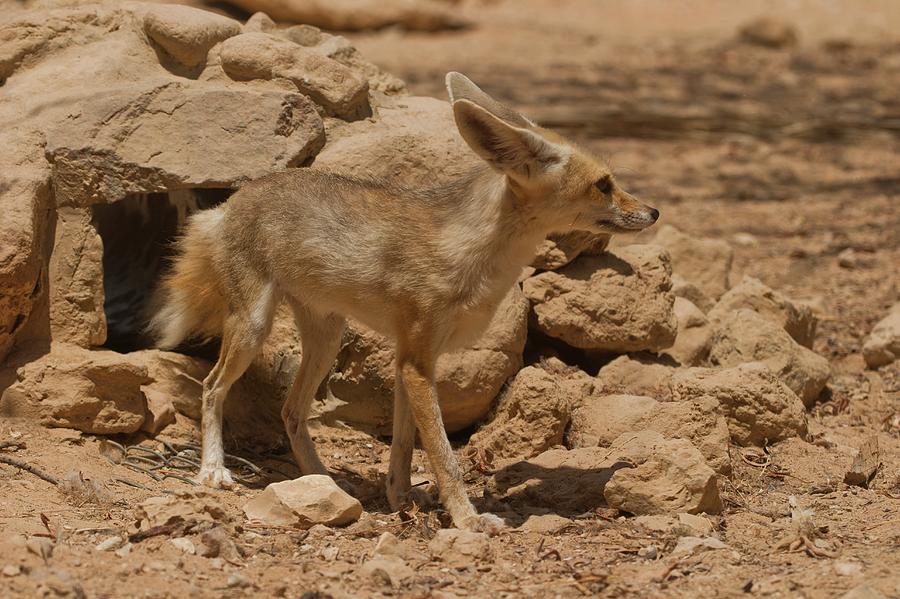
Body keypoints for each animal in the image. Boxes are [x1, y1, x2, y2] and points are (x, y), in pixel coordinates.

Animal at [149, 72, 660, 532]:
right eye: (604, 184)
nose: (654, 211)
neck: (475, 251)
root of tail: (230, 202)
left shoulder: (410, 359)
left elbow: (403, 444)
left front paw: (401, 499)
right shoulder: (416, 360)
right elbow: (442, 454)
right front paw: (467, 519)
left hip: (327, 341)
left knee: (290, 411)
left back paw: (322, 482)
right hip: (254, 329)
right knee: (212, 388)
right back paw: (214, 470)